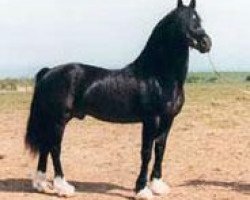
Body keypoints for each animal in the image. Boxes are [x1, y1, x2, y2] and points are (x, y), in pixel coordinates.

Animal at [25, 0, 211, 199]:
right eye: (181, 21)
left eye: (198, 19)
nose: (206, 43)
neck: (158, 76)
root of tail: (49, 72)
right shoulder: (151, 120)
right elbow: (146, 152)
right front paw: (142, 189)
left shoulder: (168, 120)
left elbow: (160, 149)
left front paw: (157, 185)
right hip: (59, 120)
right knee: (54, 148)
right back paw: (63, 187)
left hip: (51, 120)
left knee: (45, 146)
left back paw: (42, 185)